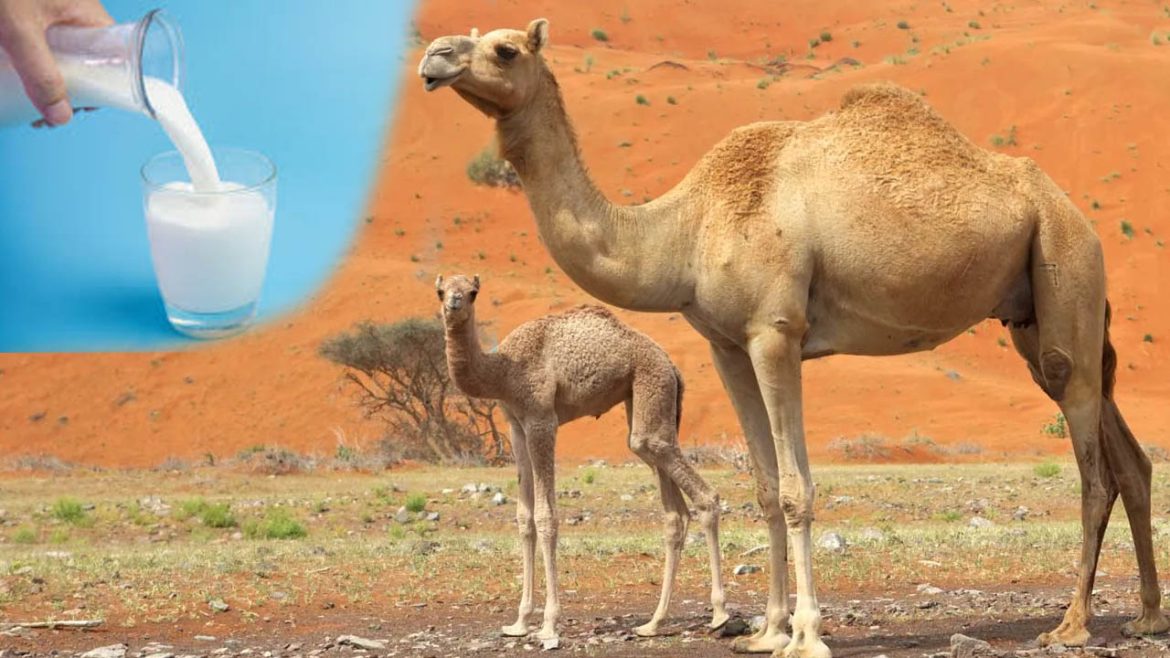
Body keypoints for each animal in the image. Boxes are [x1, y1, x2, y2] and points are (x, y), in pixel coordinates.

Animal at [435, 273, 729, 642]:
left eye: (473, 293)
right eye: (441, 291)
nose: (454, 302)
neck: (502, 370)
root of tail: (673, 367)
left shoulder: (541, 420)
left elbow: (546, 517)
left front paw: (548, 625)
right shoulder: (515, 424)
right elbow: (524, 518)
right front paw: (519, 622)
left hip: (652, 385)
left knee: (704, 495)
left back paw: (719, 614)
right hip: (644, 403)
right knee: (672, 509)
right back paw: (653, 623)